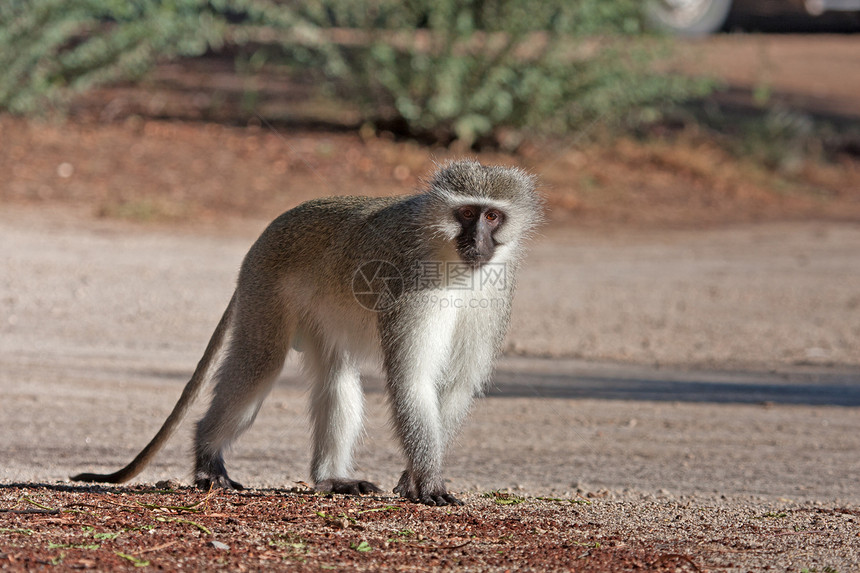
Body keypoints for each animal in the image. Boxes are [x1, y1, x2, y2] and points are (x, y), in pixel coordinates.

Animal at [75, 160, 544, 504]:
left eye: (492, 215)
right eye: (465, 213)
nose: (478, 243)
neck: (451, 259)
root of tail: (269, 230)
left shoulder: (495, 295)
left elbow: (457, 385)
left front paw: (411, 478)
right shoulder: (410, 288)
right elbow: (413, 380)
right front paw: (427, 481)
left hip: (317, 313)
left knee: (335, 377)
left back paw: (331, 478)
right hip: (265, 289)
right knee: (260, 362)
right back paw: (208, 457)